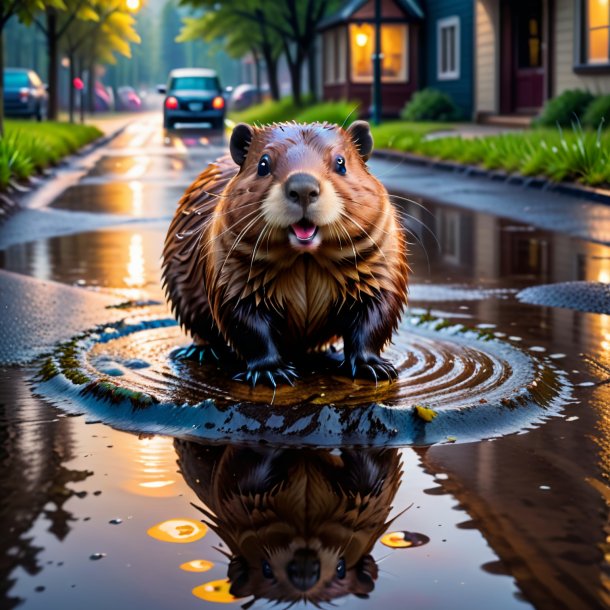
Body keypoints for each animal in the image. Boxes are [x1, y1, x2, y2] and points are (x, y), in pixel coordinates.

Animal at [164, 120, 406, 384]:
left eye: (341, 162)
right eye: (263, 164)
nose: (303, 188)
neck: (306, 258)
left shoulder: (380, 262)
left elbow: (376, 312)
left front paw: (374, 368)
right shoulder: (230, 269)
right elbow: (245, 322)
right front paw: (271, 372)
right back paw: (201, 351)